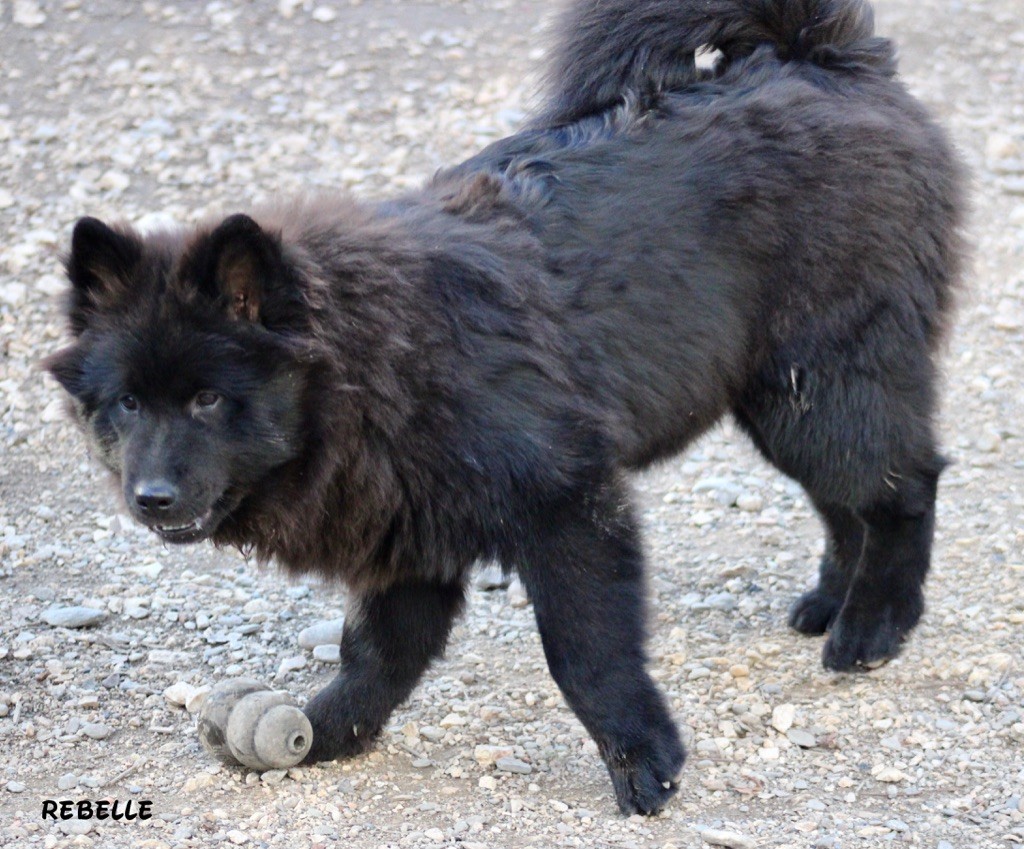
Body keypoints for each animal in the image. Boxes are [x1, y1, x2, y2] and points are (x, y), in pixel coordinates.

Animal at [44, 0, 962, 811]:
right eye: (126, 404)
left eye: (207, 397)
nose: (149, 497)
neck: (376, 363)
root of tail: (821, 60)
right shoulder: (406, 536)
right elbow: (375, 653)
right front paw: (325, 730)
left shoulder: (567, 505)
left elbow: (586, 655)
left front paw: (644, 762)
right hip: (785, 402)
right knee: (850, 502)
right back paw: (830, 602)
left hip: (820, 386)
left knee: (905, 487)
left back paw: (874, 626)